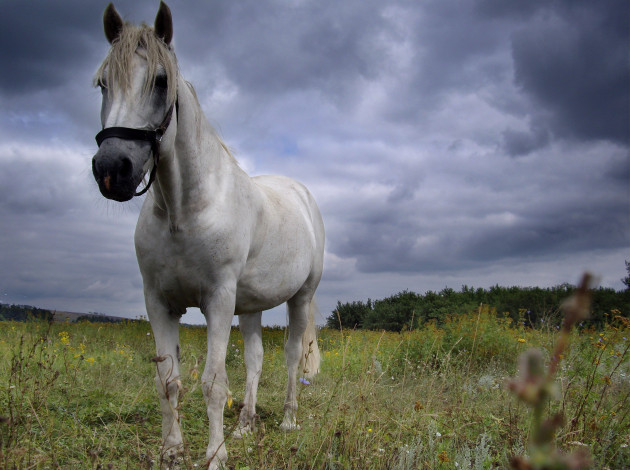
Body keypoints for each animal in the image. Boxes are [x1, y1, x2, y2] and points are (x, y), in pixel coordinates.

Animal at [92, 2, 326, 466]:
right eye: (103, 83)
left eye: (160, 81)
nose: (112, 169)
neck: (183, 211)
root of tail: (302, 194)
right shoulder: (159, 302)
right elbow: (168, 381)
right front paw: (172, 451)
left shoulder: (217, 300)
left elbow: (213, 383)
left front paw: (215, 455)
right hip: (250, 306)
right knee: (255, 360)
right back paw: (245, 426)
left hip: (300, 298)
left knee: (292, 357)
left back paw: (287, 420)